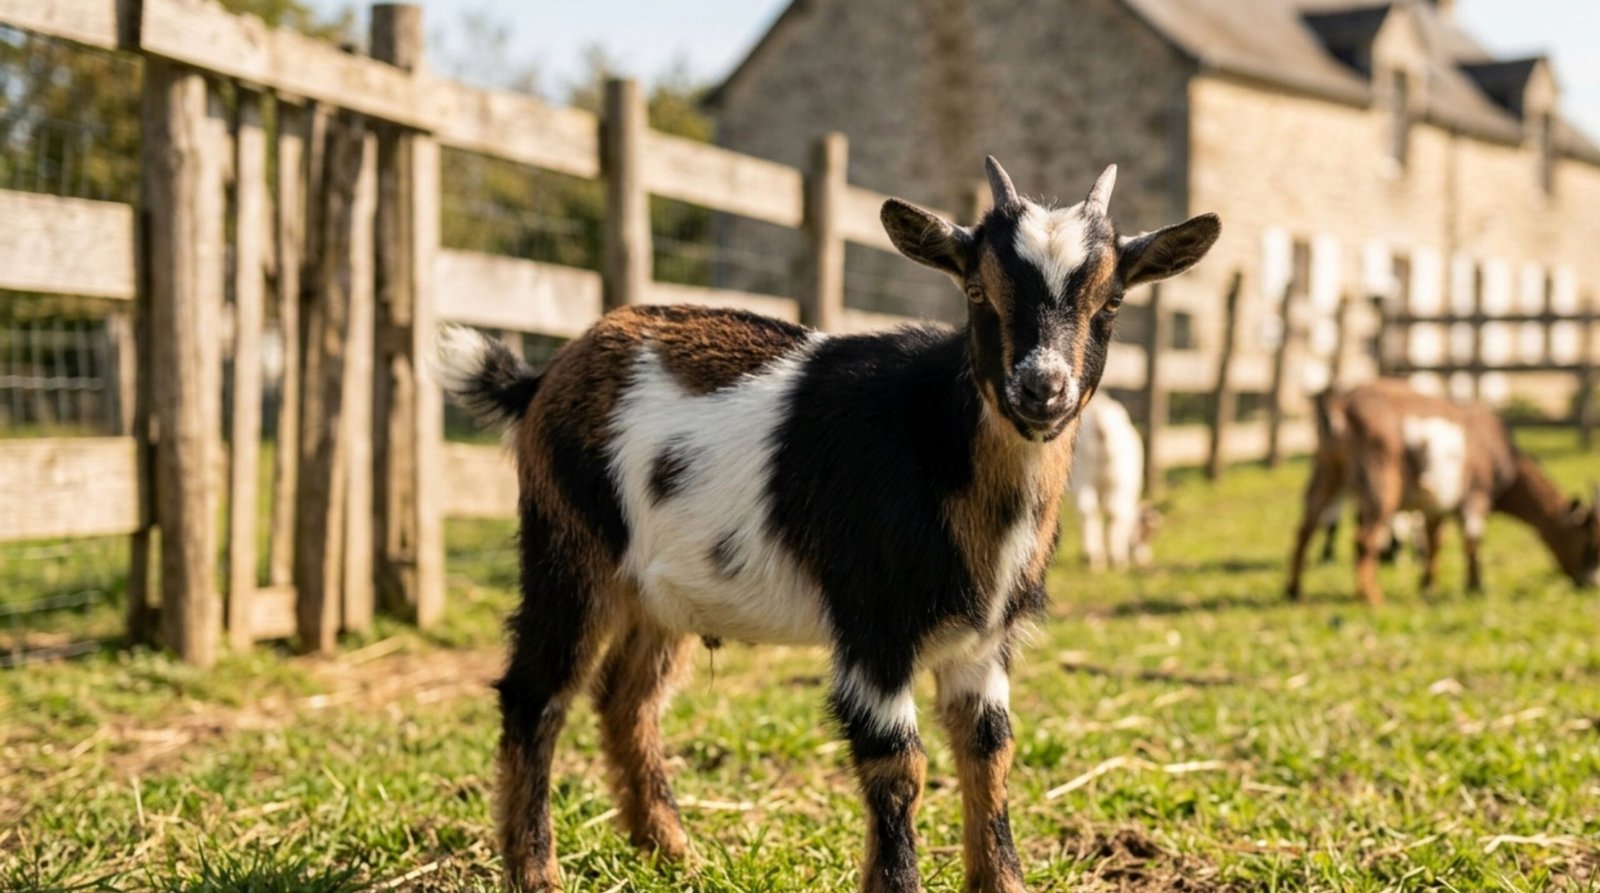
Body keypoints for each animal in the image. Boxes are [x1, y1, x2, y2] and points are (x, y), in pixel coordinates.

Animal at [1069, 396, 1158, 570]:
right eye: (1143, 535)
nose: (1145, 557)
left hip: (1082, 477)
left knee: (1087, 509)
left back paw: (1092, 556)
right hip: (1119, 482)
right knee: (1114, 512)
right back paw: (1117, 558)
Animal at [1286, 380, 1600, 605]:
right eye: (1587, 543)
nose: (1590, 583)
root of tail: (1341, 406)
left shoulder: (1435, 506)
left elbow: (1435, 541)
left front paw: (1429, 585)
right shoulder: (1475, 495)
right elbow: (1473, 540)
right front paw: (1475, 587)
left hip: (1327, 470)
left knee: (1305, 528)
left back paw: (1294, 589)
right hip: (1379, 477)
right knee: (1364, 539)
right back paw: (1370, 596)